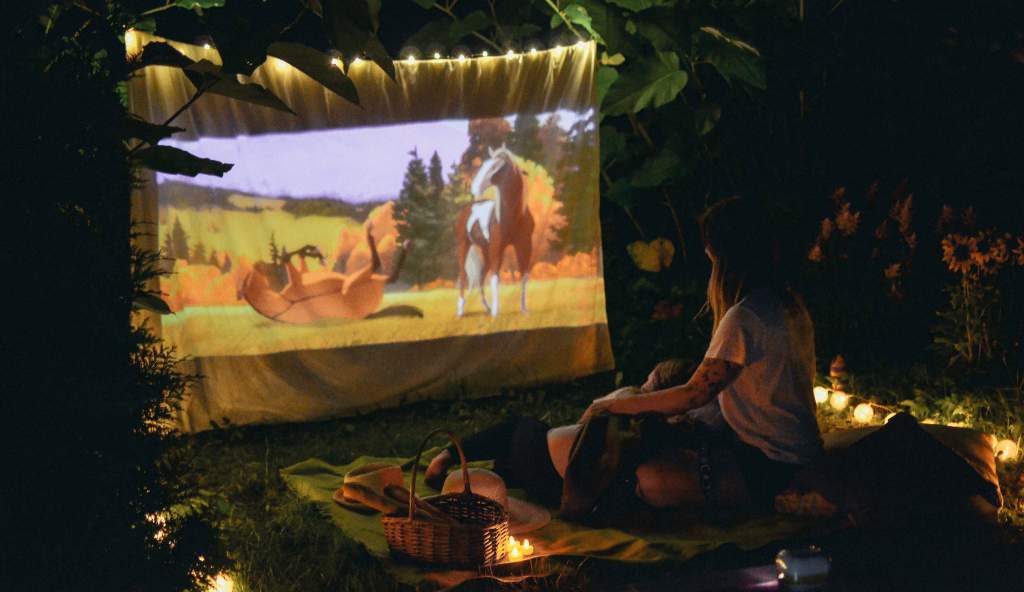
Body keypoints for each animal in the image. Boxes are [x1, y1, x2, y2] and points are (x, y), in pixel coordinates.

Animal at [456, 144, 536, 315]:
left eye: (495, 167)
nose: (475, 188)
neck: (514, 215)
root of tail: (468, 208)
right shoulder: (497, 247)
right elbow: (495, 277)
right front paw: (496, 313)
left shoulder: (525, 246)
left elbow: (524, 275)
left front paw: (524, 310)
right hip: (464, 246)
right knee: (463, 276)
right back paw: (461, 311)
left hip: (485, 250)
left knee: (480, 277)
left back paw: (486, 307)